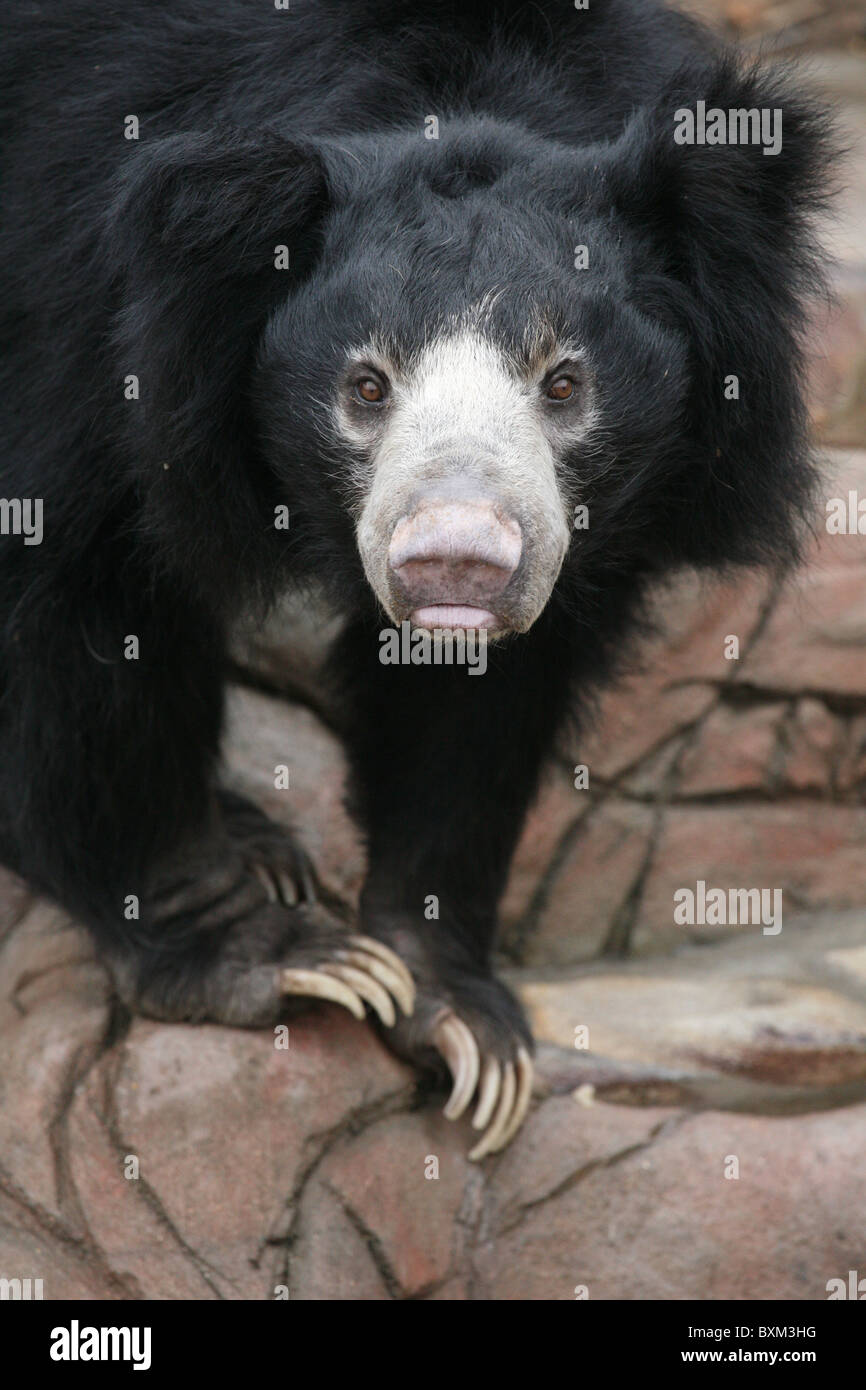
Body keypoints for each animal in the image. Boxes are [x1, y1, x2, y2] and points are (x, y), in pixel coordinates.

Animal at [0, 0, 839, 1150]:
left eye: (564, 381)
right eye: (365, 385)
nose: (456, 562)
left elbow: (475, 710)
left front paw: (459, 1020)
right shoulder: (89, 318)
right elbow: (81, 596)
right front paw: (275, 956)